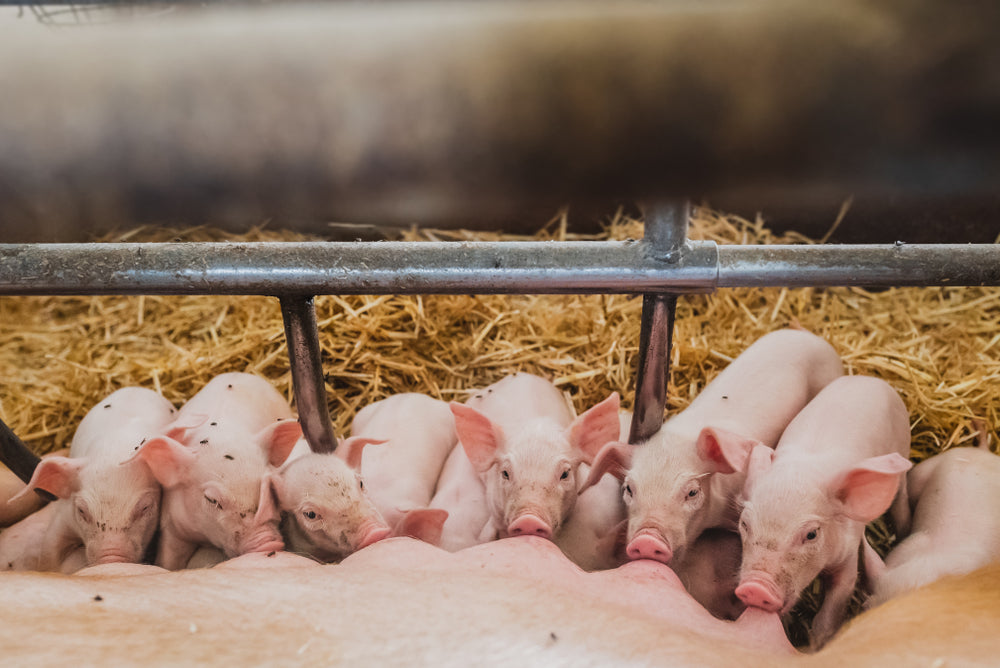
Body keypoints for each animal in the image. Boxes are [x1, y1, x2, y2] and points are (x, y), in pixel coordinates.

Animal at [10, 387, 183, 571]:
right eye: (82, 510)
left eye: (145, 507)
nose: (111, 560)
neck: (114, 447)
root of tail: (137, 388)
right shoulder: (65, 512)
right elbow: (49, 550)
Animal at [735, 375, 913, 648]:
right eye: (744, 524)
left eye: (811, 534)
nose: (754, 588)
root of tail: (869, 378)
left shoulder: (849, 555)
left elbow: (833, 607)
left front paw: (816, 646)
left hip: (903, 449)